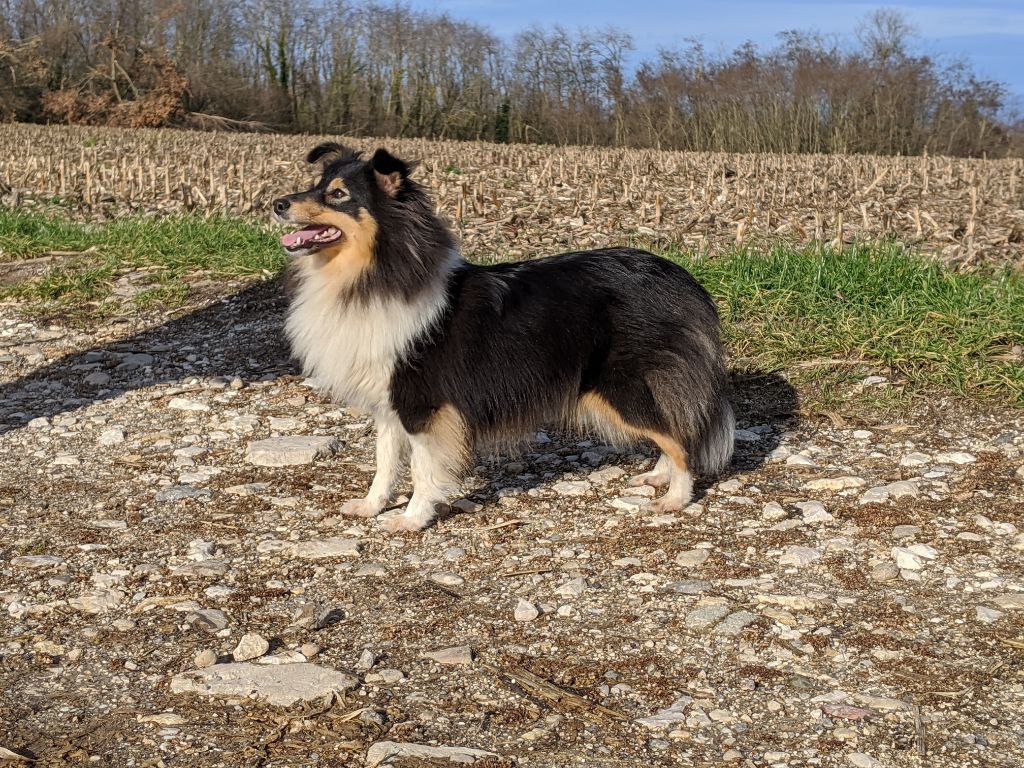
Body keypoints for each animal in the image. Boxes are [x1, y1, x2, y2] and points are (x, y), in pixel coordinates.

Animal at [272, 144, 737, 532]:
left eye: (337, 195)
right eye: (316, 185)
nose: (277, 203)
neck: (368, 274)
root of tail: (682, 279)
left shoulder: (423, 405)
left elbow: (422, 469)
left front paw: (411, 520)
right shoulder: (389, 403)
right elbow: (385, 464)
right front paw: (370, 507)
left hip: (622, 385)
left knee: (682, 439)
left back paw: (676, 497)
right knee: (671, 429)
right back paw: (659, 474)